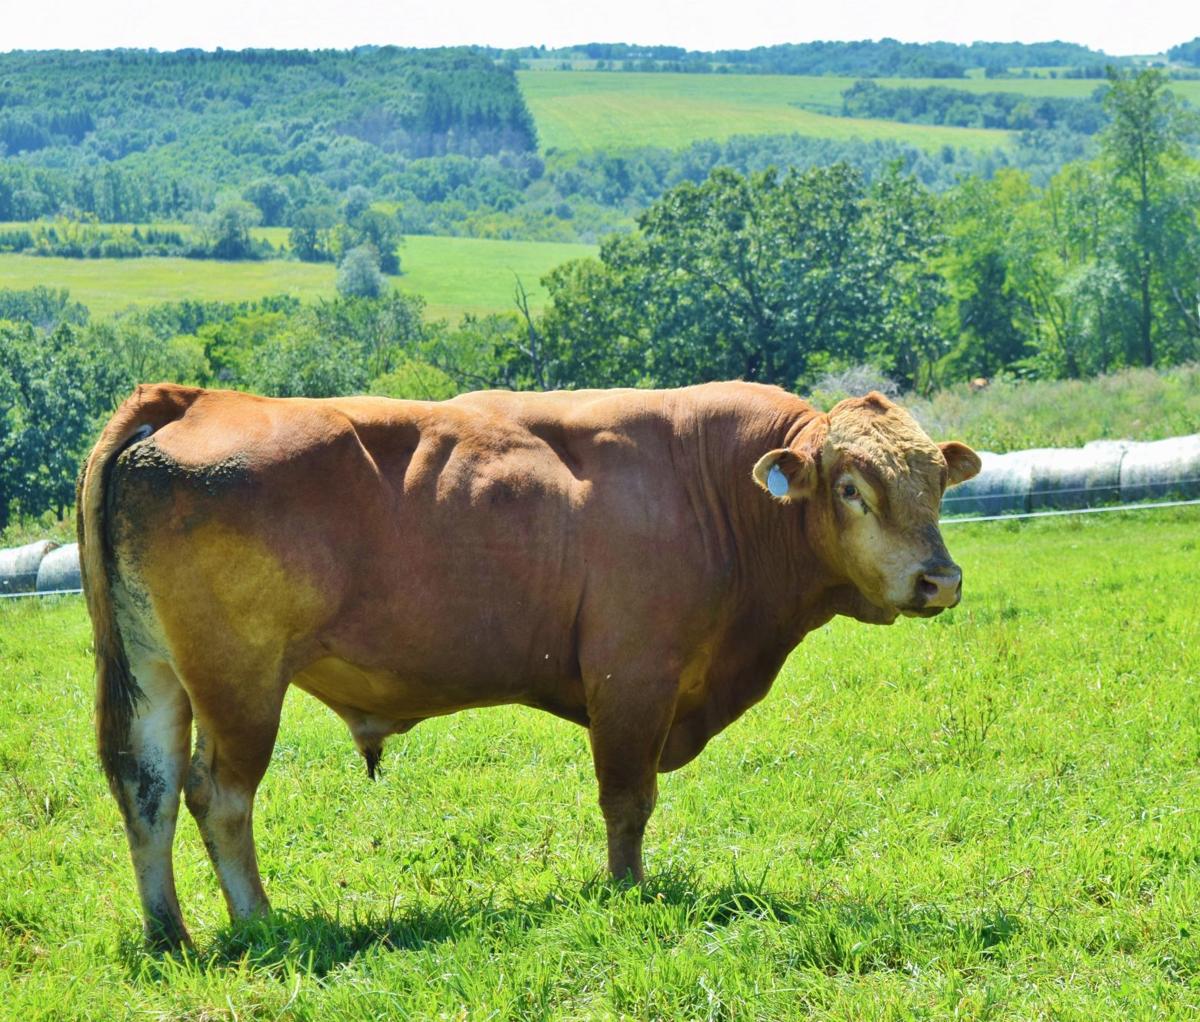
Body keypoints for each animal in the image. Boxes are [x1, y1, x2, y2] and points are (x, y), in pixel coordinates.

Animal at [78, 381, 980, 948]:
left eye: (936, 483)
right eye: (852, 488)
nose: (939, 579)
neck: (715, 488)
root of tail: (194, 398)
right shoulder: (633, 680)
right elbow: (627, 800)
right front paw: (627, 892)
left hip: (155, 674)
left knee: (147, 787)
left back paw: (170, 931)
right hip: (240, 682)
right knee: (218, 795)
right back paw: (259, 920)